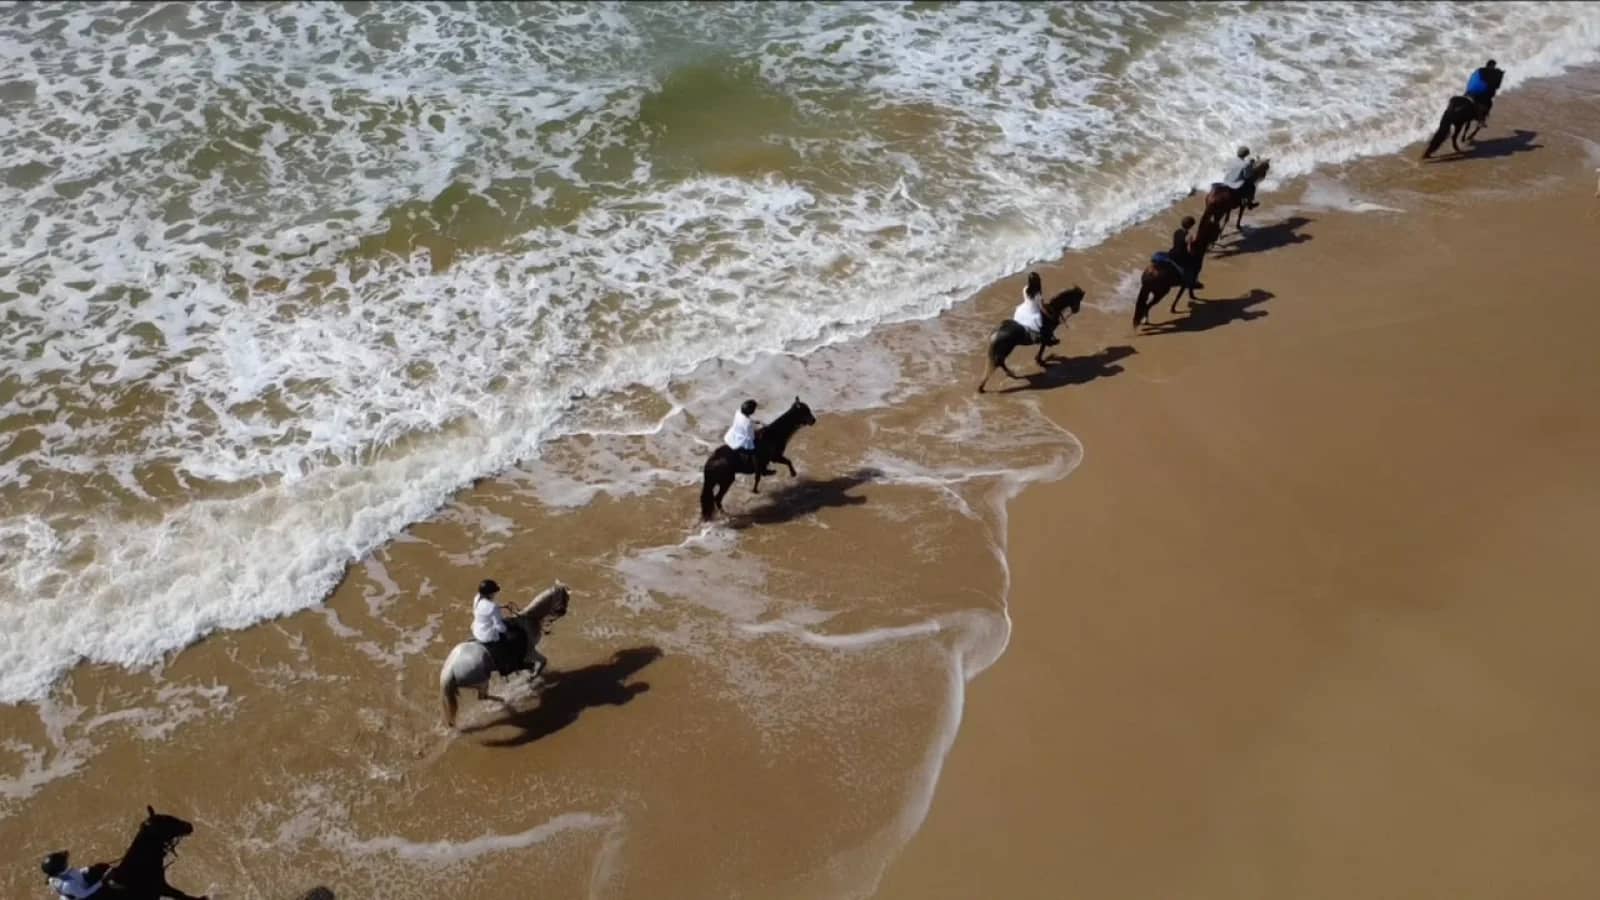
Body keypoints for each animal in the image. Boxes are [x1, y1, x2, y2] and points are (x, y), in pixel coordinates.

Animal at [440, 583, 570, 728]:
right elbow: (542, 662)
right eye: (565, 597)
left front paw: (533, 676)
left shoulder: (528, 655)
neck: (528, 621)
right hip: (482, 681)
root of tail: (449, 670)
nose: (564, 611)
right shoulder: (529, 652)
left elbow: (538, 664)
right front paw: (532, 677)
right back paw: (503, 699)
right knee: (483, 696)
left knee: (483, 696)